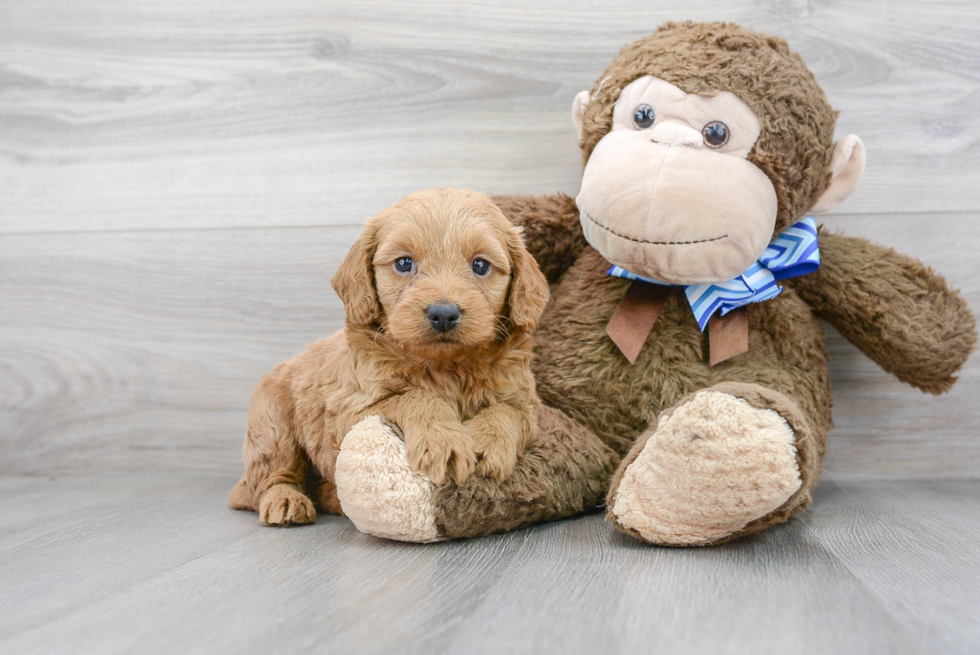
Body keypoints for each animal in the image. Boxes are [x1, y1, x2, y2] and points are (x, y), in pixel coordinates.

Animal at [229, 187, 552, 524]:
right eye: (404, 263)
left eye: (480, 266)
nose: (443, 314)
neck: (446, 366)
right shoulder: (351, 411)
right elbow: (415, 397)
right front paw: (443, 439)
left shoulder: (527, 404)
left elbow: (508, 412)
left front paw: (487, 442)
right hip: (272, 426)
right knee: (271, 477)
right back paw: (285, 500)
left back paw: (332, 497)